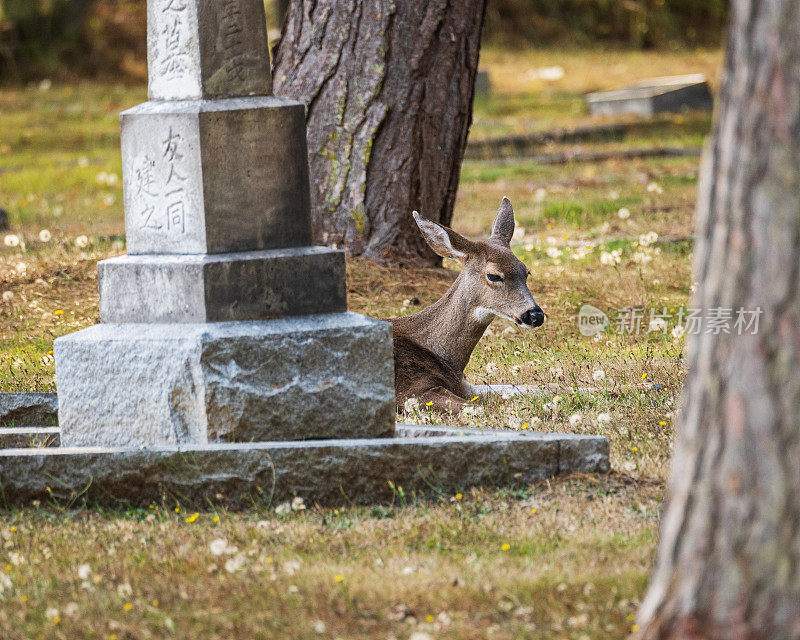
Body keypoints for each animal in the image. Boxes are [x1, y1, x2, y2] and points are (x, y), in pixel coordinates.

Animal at [392, 196, 548, 416]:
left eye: (526, 272)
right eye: (493, 275)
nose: (535, 315)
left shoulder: (465, 385)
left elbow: (535, 387)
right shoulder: (410, 390)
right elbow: (481, 410)